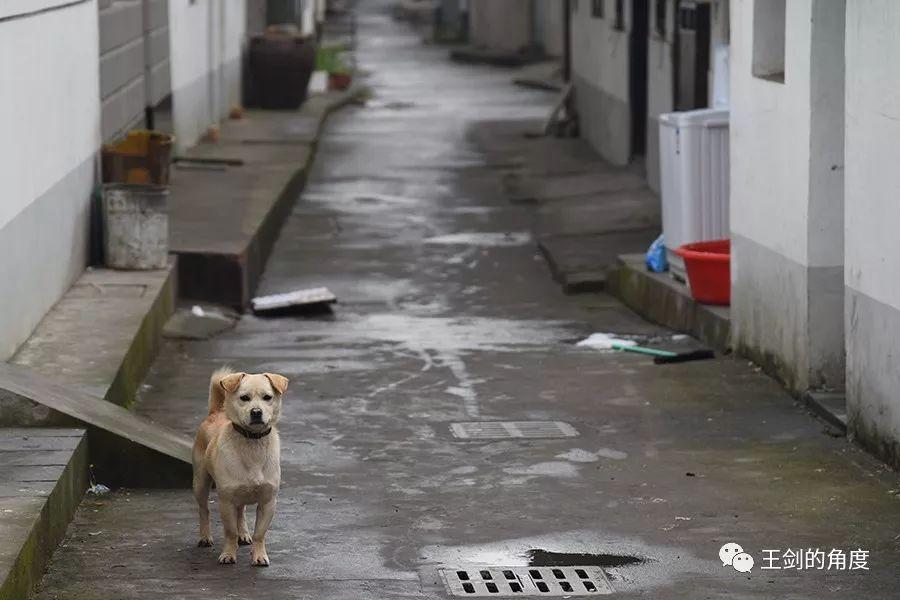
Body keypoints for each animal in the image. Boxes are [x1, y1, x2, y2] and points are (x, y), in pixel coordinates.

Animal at [192, 366, 288, 568]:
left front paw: (259, 555)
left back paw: (244, 534)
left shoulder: (268, 502)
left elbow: (259, 533)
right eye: (244, 398)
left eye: (267, 397)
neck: (252, 441)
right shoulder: (226, 501)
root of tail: (215, 412)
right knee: (204, 510)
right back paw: (205, 536)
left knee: (241, 511)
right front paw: (228, 554)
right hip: (200, 483)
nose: (256, 412)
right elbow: (230, 531)